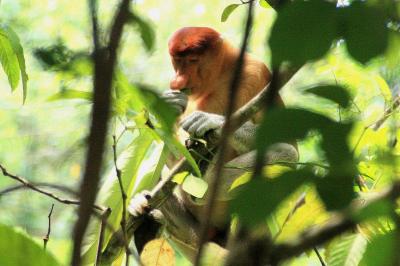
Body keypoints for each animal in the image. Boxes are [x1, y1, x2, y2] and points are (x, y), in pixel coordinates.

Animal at [127, 27, 296, 262]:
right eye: (176, 61)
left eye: (192, 60)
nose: (177, 81)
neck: (220, 76)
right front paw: (170, 106)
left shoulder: (257, 73)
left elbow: (286, 141)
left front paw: (212, 121)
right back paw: (145, 213)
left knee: (286, 153)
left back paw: (204, 182)